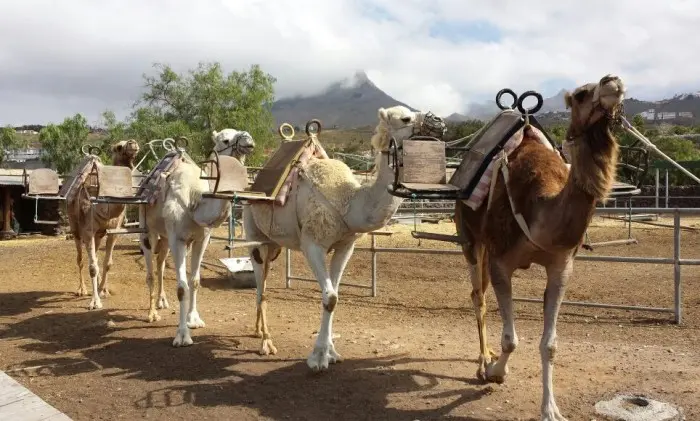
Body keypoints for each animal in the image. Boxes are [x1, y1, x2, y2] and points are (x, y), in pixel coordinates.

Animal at [67, 140, 141, 308]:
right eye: (118, 147)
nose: (132, 143)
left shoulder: (114, 231)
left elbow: (107, 263)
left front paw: (103, 291)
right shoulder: (88, 231)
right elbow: (92, 267)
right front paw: (95, 302)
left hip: (99, 234)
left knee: (95, 255)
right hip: (75, 229)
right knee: (80, 259)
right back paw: (81, 290)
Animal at [138, 128, 256, 344]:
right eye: (225, 139)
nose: (248, 140)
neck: (196, 201)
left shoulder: (202, 239)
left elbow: (194, 280)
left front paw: (194, 320)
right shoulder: (178, 239)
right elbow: (182, 287)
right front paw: (182, 335)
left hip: (165, 236)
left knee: (160, 264)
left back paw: (161, 301)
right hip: (148, 231)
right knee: (150, 271)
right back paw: (151, 314)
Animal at [245, 105, 422, 370]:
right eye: (405, 118)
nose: (439, 124)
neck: (348, 201)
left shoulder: (345, 245)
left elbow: (336, 296)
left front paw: (331, 352)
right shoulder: (312, 244)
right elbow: (329, 297)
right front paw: (317, 358)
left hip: (274, 244)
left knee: (263, 280)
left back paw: (258, 331)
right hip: (254, 235)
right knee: (260, 285)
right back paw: (266, 342)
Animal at [456, 74, 628, 418]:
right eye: (581, 94)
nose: (612, 82)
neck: (542, 206)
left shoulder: (562, 266)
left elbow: (550, 345)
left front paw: (550, 409)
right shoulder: (501, 261)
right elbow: (511, 340)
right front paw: (496, 371)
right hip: (470, 238)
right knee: (477, 296)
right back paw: (482, 361)